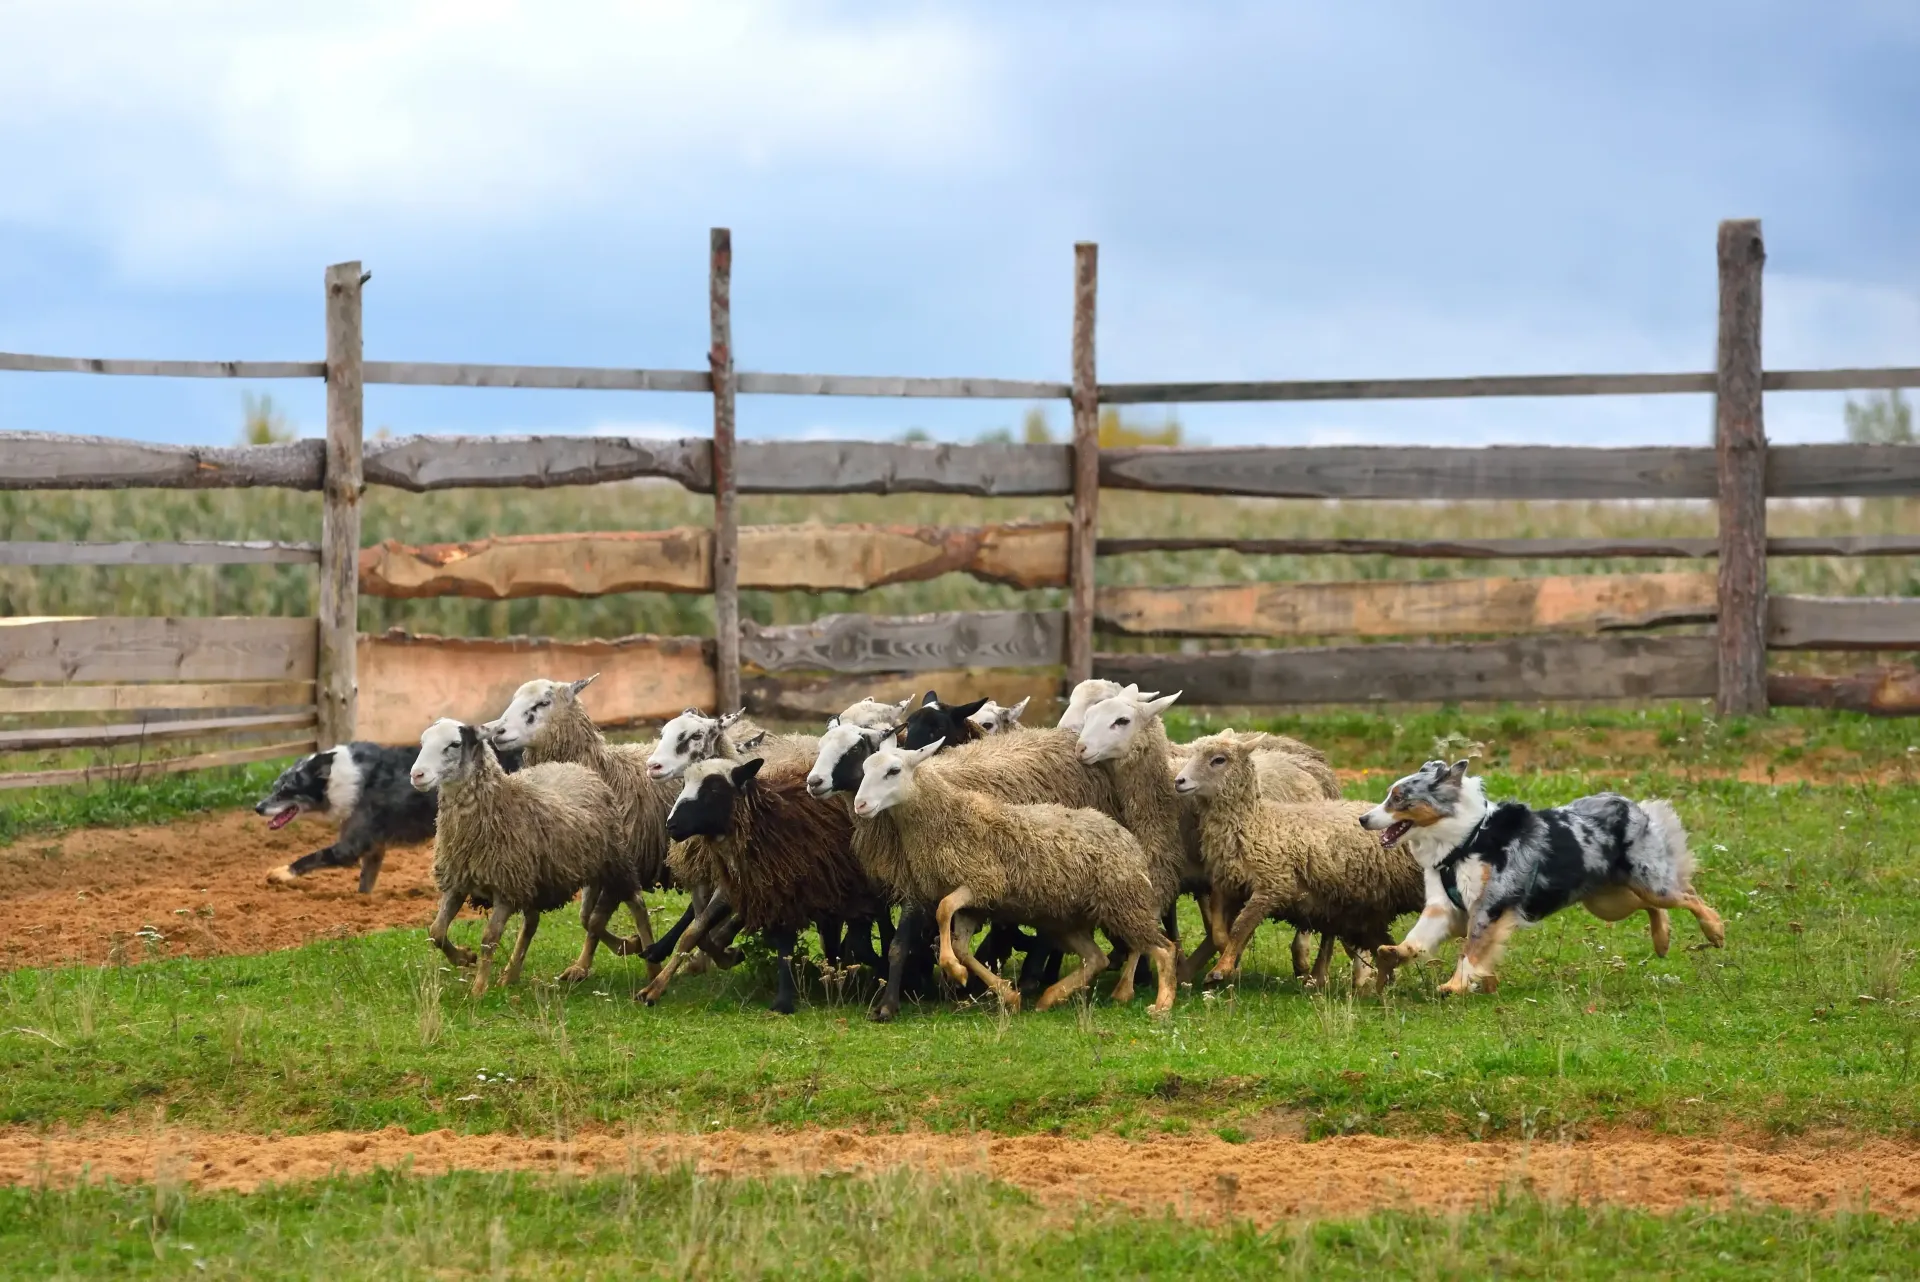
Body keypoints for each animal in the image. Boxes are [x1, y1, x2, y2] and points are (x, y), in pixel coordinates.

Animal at [410, 717, 622, 997]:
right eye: (423, 741)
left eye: (454, 744)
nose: (417, 775)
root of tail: (572, 765)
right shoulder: (458, 881)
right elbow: (436, 931)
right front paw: (464, 958)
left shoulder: (506, 888)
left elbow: (489, 939)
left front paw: (478, 990)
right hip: (532, 881)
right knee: (533, 922)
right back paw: (511, 973)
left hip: (599, 865)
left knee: (593, 918)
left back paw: (620, 947)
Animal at [1351, 759, 1728, 990]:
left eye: (1398, 799)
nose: (1362, 819)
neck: (1464, 839)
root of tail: (1630, 804)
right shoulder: (1442, 908)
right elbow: (1417, 938)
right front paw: (1395, 953)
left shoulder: (1488, 906)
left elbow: (1471, 950)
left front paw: (1456, 985)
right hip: (1608, 901)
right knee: (1652, 907)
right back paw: (1662, 940)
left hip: (1648, 883)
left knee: (1687, 895)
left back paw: (1715, 931)